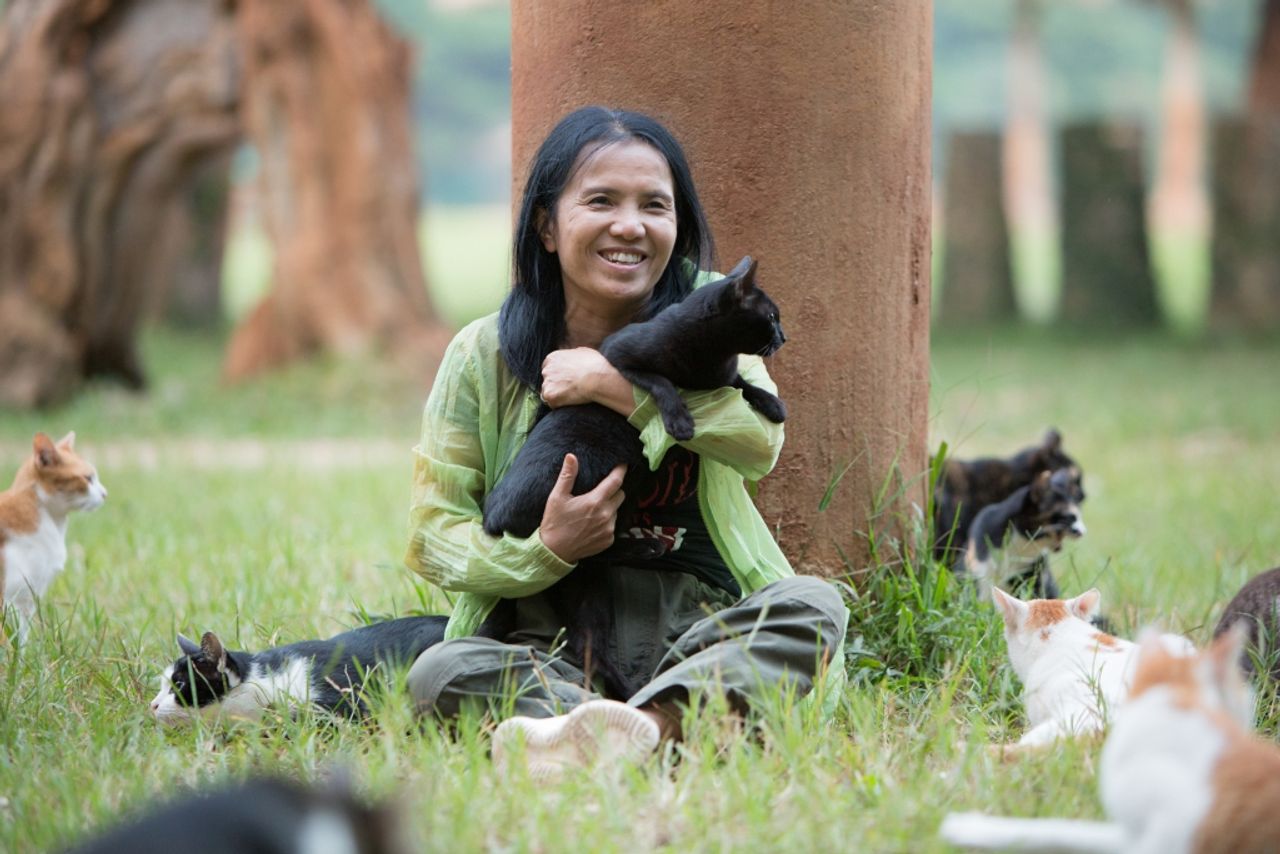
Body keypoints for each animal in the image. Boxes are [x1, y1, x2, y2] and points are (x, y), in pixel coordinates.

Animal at [481, 257, 783, 696]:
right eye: (772, 316)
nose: (783, 335)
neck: (712, 355)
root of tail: (492, 517)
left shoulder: (724, 378)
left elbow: (742, 385)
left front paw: (773, 405)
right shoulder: (619, 353)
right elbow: (660, 382)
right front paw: (679, 420)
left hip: (584, 585)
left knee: (589, 644)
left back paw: (632, 694)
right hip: (599, 480)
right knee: (585, 545)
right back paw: (647, 550)